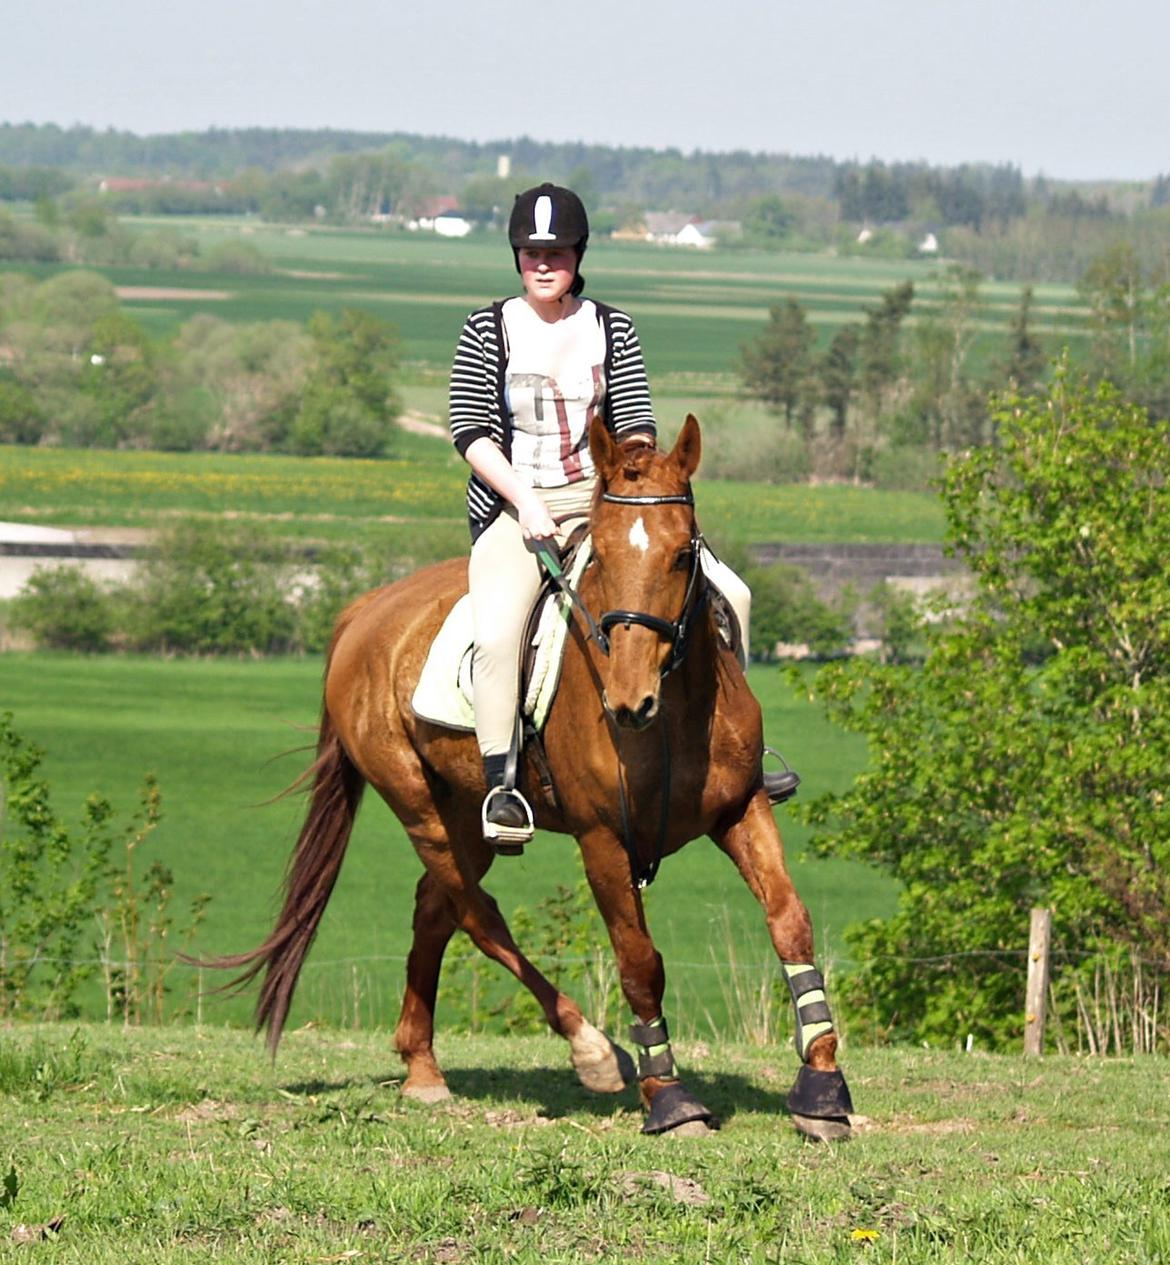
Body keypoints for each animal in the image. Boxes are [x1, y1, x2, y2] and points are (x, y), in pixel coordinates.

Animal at [209, 414, 849, 1138]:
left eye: (683, 555)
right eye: (599, 557)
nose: (629, 703)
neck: (669, 717)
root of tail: (364, 611)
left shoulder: (742, 808)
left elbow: (789, 920)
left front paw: (822, 1084)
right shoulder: (603, 840)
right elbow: (639, 960)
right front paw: (668, 1097)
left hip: (466, 812)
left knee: (435, 909)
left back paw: (423, 1069)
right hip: (420, 807)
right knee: (475, 913)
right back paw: (590, 1048)